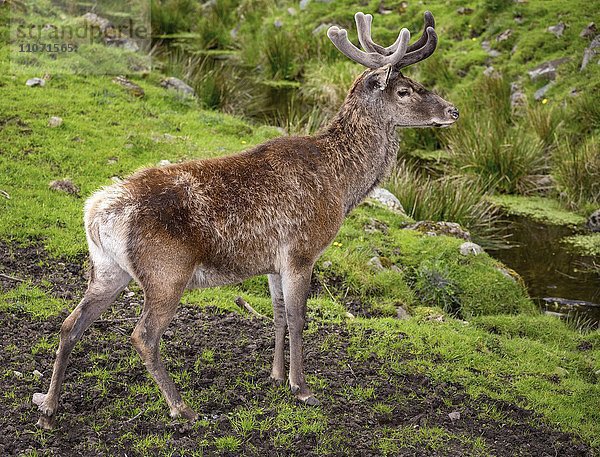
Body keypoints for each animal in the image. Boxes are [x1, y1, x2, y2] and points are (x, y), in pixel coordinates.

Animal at [32, 10, 460, 428]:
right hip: (166, 272)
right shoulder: (302, 251)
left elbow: (278, 315)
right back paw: (182, 408)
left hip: (107, 269)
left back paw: (49, 407)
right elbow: (299, 318)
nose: (452, 111)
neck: (341, 186)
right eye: (404, 90)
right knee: (142, 336)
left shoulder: (272, 261)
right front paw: (302, 387)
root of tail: (94, 213)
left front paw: (276, 375)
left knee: (70, 324)